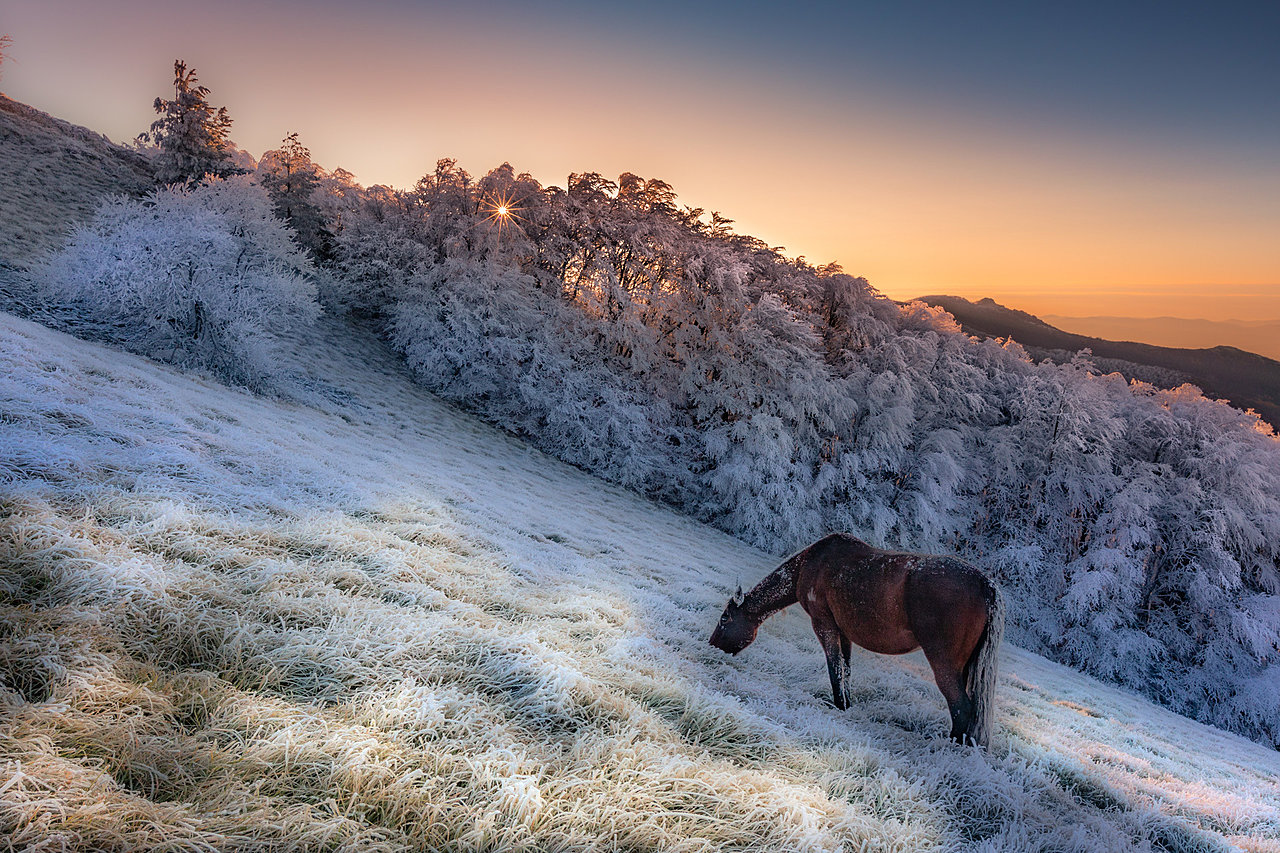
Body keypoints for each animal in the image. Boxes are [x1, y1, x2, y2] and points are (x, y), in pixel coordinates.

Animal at [711, 532, 998, 742]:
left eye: (725, 619)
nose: (711, 645)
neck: (809, 564)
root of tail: (985, 585)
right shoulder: (843, 632)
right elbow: (845, 670)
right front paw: (847, 705)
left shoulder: (824, 624)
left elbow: (834, 668)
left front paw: (838, 705)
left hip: (943, 663)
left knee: (961, 708)